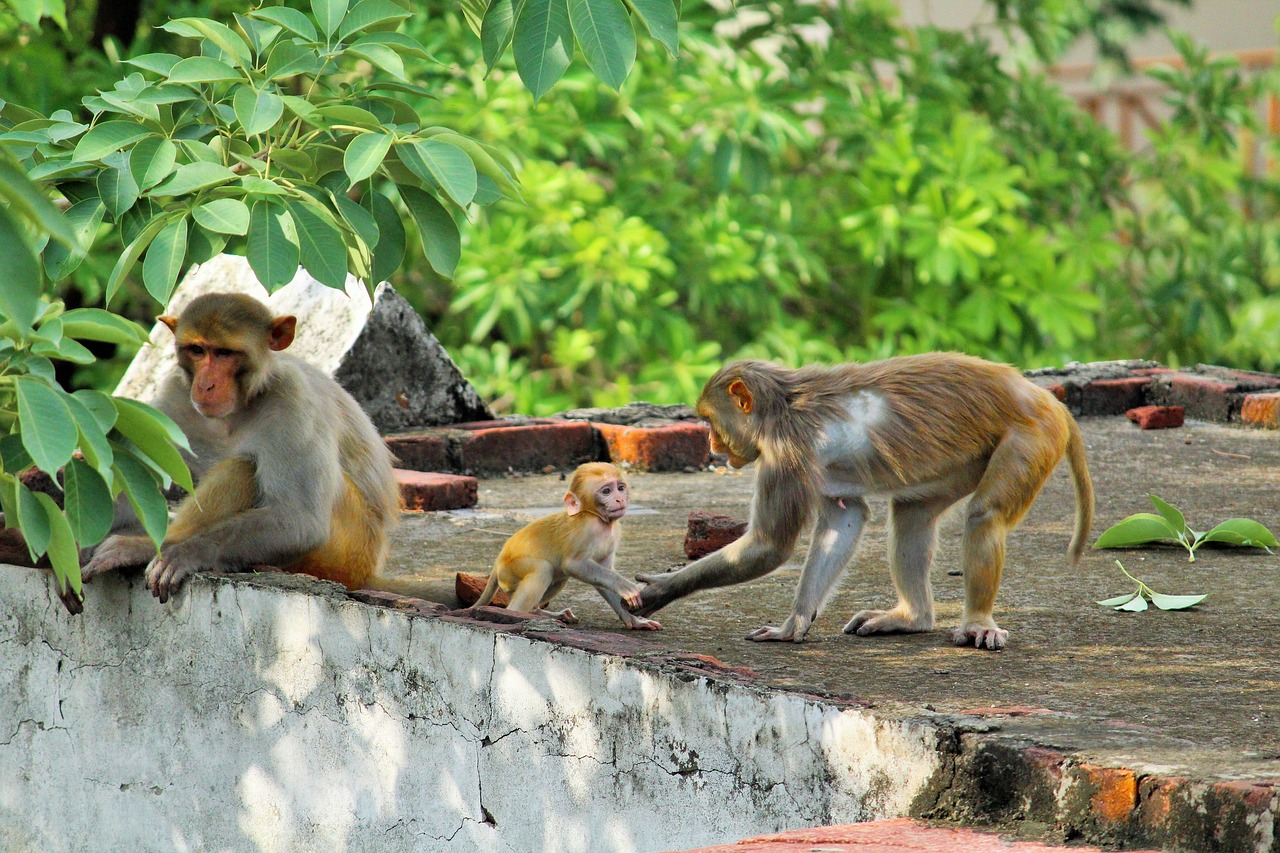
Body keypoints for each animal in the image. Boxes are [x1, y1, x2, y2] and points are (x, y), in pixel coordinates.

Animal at [78, 292, 396, 604]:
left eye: (224, 353)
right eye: (197, 350)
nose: (206, 385)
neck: (240, 406)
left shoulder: (293, 398)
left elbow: (299, 520)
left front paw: (186, 552)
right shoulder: (175, 396)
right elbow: (128, 477)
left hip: (347, 551)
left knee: (243, 467)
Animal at [476, 461, 665, 627]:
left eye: (620, 488)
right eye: (606, 491)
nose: (619, 499)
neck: (598, 518)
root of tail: (498, 560)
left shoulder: (614, 534)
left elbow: (604, 572)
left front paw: (634, 620)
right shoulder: (587, 529)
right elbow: (573, 564)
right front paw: (625, 587)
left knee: (558, 576)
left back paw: (539, 613)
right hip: (509, 571)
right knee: (544, 569)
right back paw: (516, 615)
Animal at [634, 350, 1095, 645]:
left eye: (712, 421)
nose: (712, 445)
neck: (783, 405)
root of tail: (1041, 396)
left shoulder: (784, 453)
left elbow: (770, 546)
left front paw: (660, 590)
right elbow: (844, 518)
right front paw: (794, 624)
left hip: (1031, 435)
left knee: (986, 514)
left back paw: (977, 621)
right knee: (911, 516)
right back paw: (912, 619)